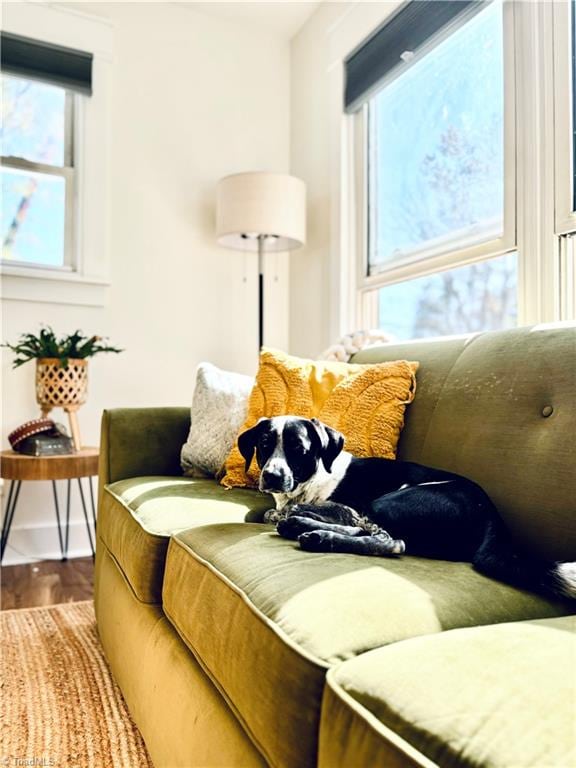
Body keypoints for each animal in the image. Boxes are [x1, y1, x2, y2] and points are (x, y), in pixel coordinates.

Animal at [238, 414, 576, 600]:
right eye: (264, 445)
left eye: (299, 448)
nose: (272, 476)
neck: (312, 480)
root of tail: (495, 518)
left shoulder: (349, 506)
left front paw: (297, 514)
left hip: (390, 500)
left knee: (391, 542)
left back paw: (314, 532)